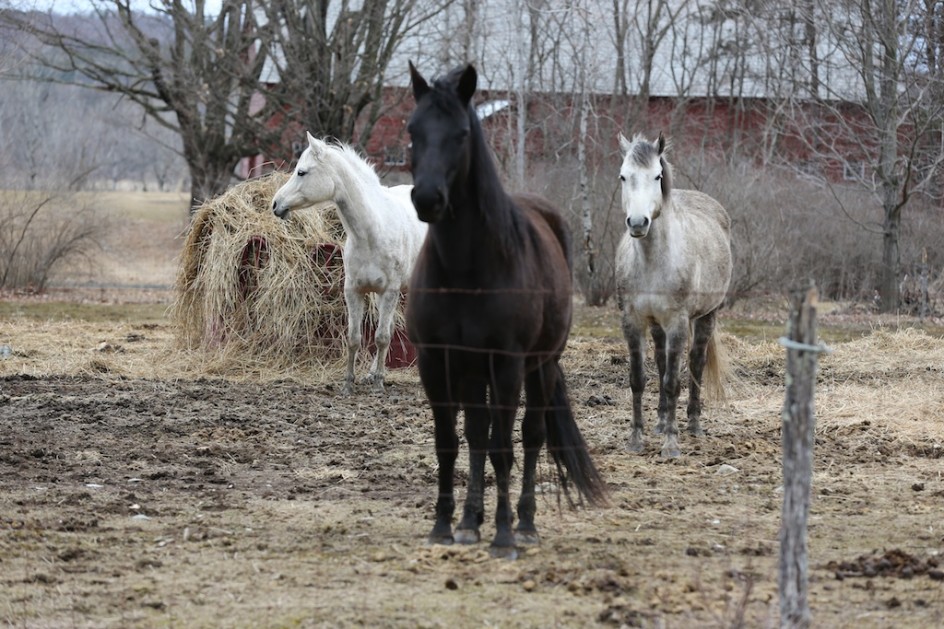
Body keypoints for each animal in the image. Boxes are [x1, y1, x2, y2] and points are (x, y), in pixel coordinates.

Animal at [268, 132, 426, 392]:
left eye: (302, 172)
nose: (275, 204)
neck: (372, 232)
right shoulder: (353, 291)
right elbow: (355, 338)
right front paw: (349, 384)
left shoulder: (389, 292)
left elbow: (381, 337)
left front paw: (379, 385)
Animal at [404, 61, 604, 556]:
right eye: (413, 130)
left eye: (461, 134)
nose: (427, 198)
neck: (465, 268)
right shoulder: (437, 361)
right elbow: (451, 443)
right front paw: (446, 526)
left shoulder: (507, 363)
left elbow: (504, 449)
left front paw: (504, 535)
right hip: (475, 371)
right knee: (477, 435)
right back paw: (470, 521)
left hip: (541, 365)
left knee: (530, 436)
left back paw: (525, 523)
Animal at [616, 132, 732, 456]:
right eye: (623, 176)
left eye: (657, 176)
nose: (638, 223)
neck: (652, 262)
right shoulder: (632, 321)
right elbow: (638, 378)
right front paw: (636, 439)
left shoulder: (678, 323)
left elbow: (672, 382)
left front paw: (671, 443)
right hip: (657, 325)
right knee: (660, 361)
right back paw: (660, 420)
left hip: (707, 316)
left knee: (695, 363)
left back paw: (693, 424)